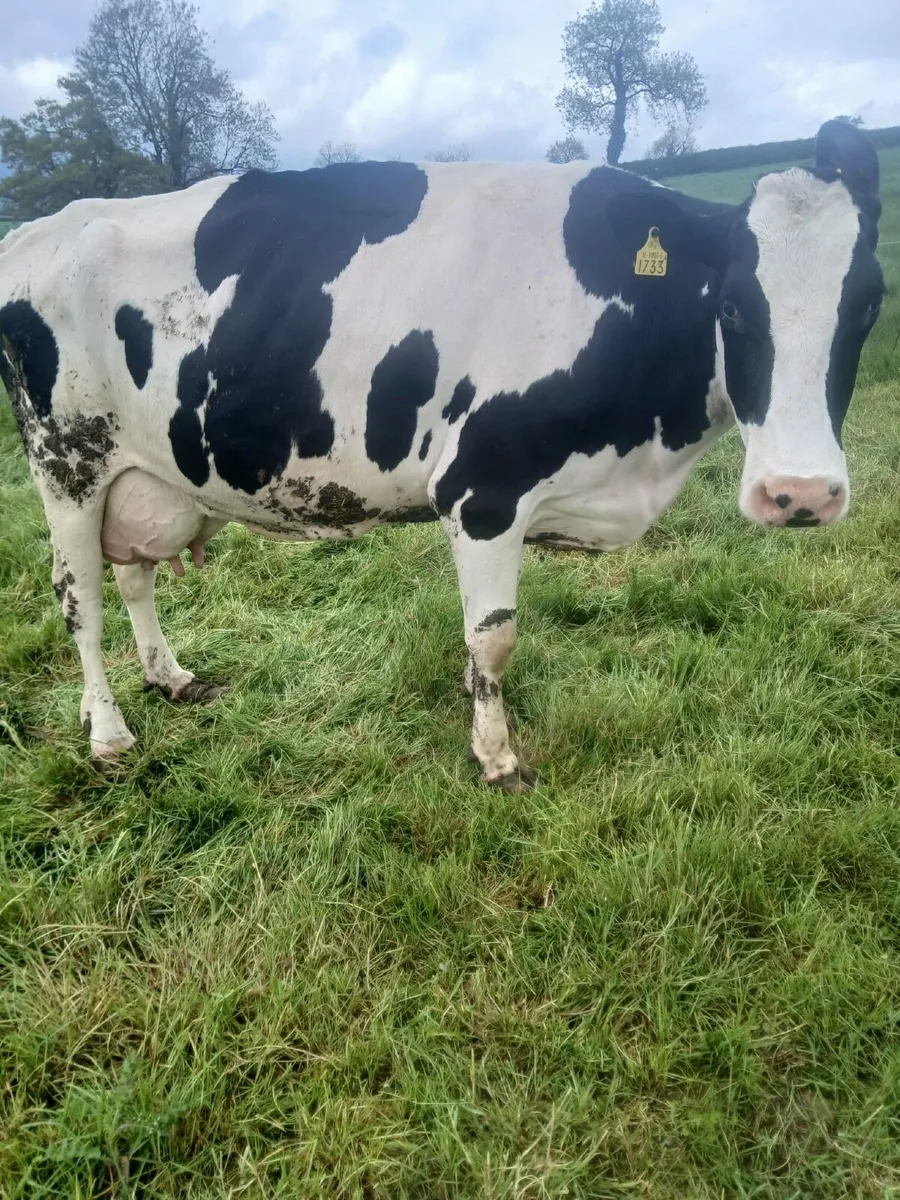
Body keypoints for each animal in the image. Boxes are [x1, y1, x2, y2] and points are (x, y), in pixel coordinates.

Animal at [0, 119, 884, 791]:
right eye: (732, 305)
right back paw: (108, 732)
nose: (800, 494)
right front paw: (497, 756)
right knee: (79, 596)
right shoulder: (481, 490)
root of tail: (40, 227)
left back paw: (169, 675)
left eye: (870, 301)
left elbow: (479, 643)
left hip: (145, 472)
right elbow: (495, 637)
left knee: (134, 575)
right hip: (66, 462)